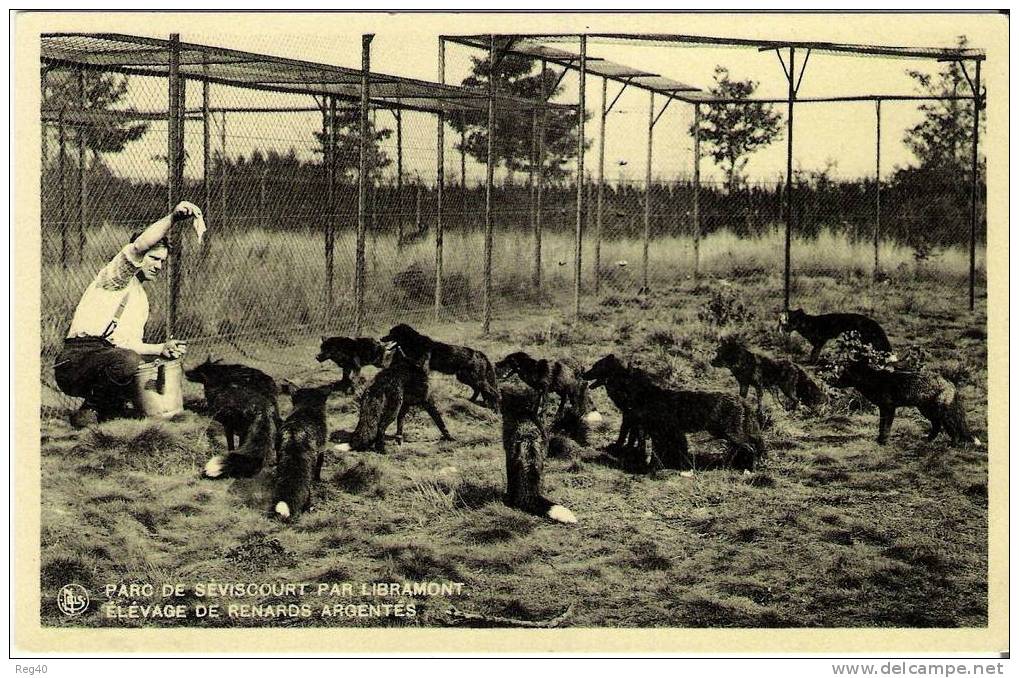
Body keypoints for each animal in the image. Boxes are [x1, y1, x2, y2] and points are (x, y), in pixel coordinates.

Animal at [273, 383, 328, 519]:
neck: (306, 407)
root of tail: (293, 433)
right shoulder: (322, 451)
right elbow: (319, 469)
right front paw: (318, 480)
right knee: (308, 486)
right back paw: (309, 506)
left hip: (280, 457)